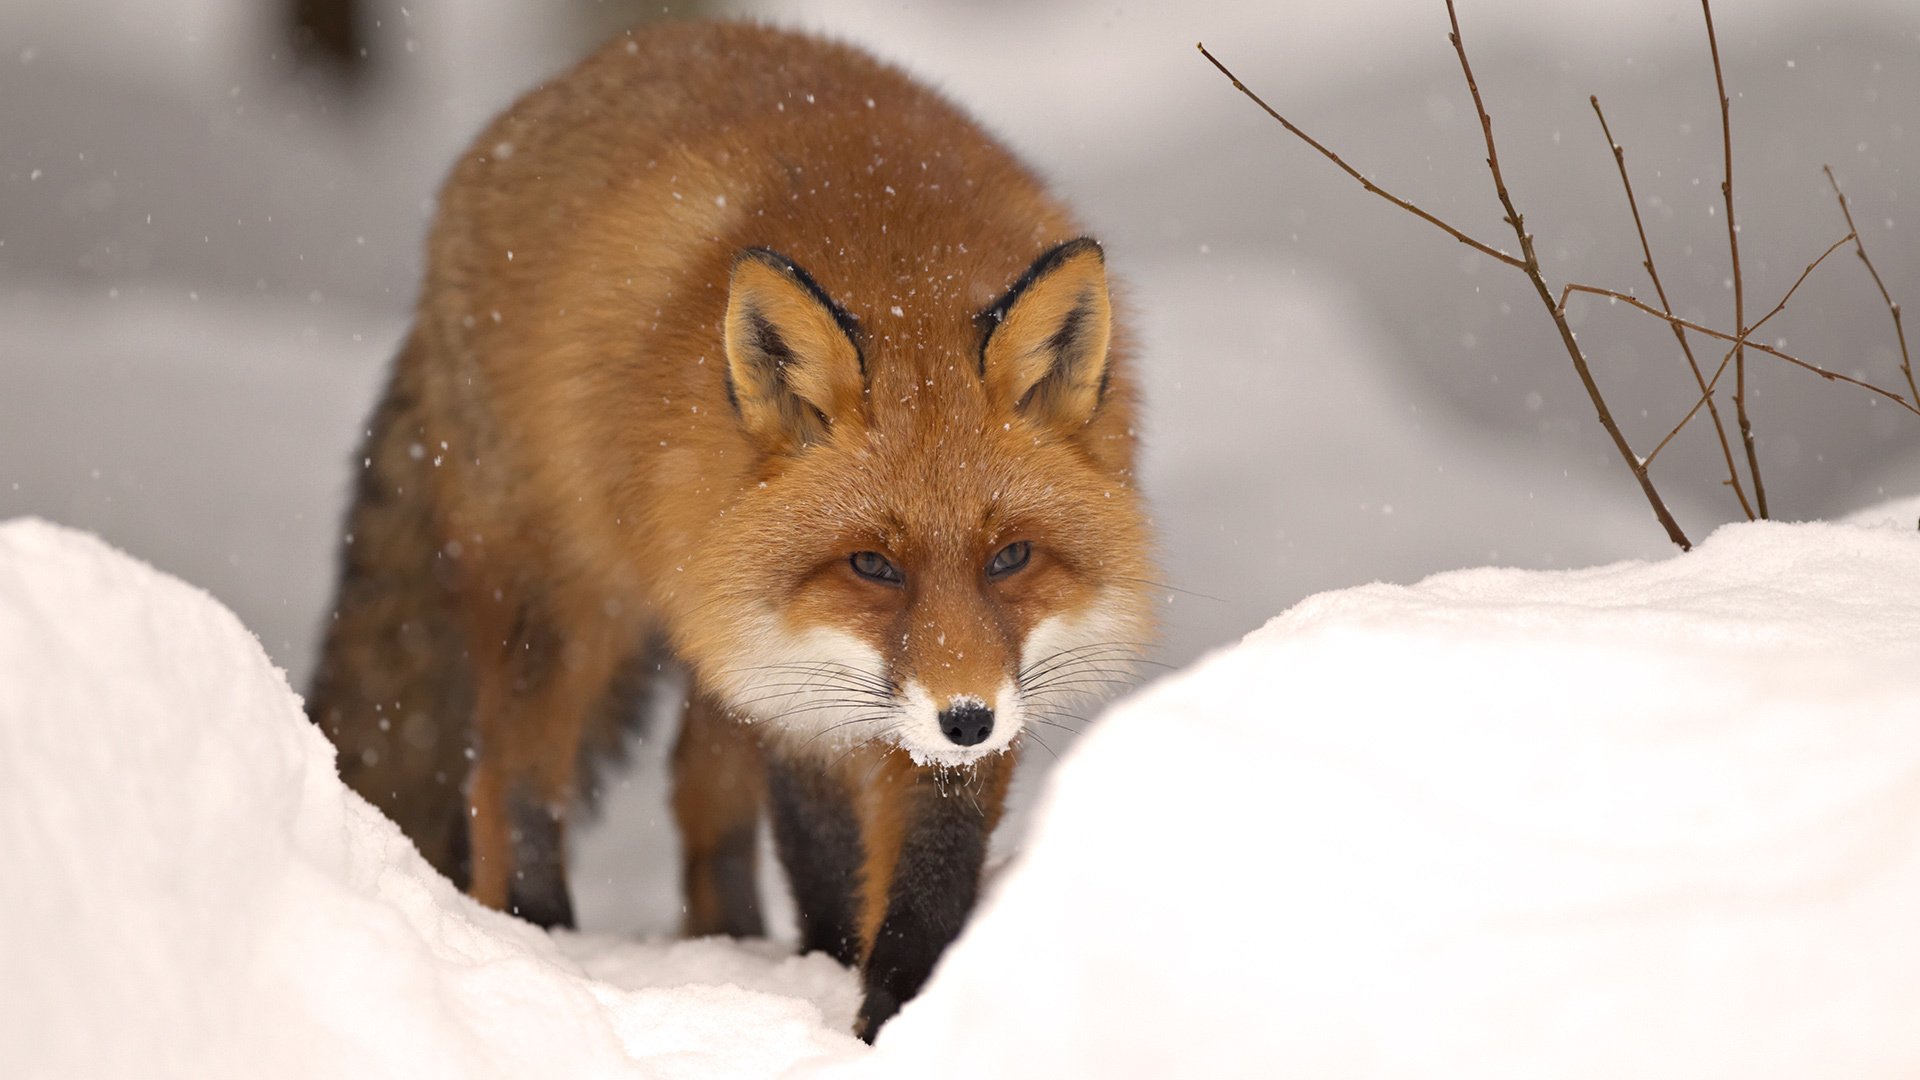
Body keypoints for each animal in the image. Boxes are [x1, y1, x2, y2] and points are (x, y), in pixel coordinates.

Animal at [307, 20, 1154, 1040]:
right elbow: (826, 854)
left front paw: (905, 1006)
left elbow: (931, 868)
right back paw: (541, 936)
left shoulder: (948, 682)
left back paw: (732, 940)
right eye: (872, 565)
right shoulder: (792, 683)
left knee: (696, 791)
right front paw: (840, 979)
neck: (900, 265)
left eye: (1012, 557)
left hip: (707, 628)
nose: (966, 719)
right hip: (568, 605)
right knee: (506, 778)